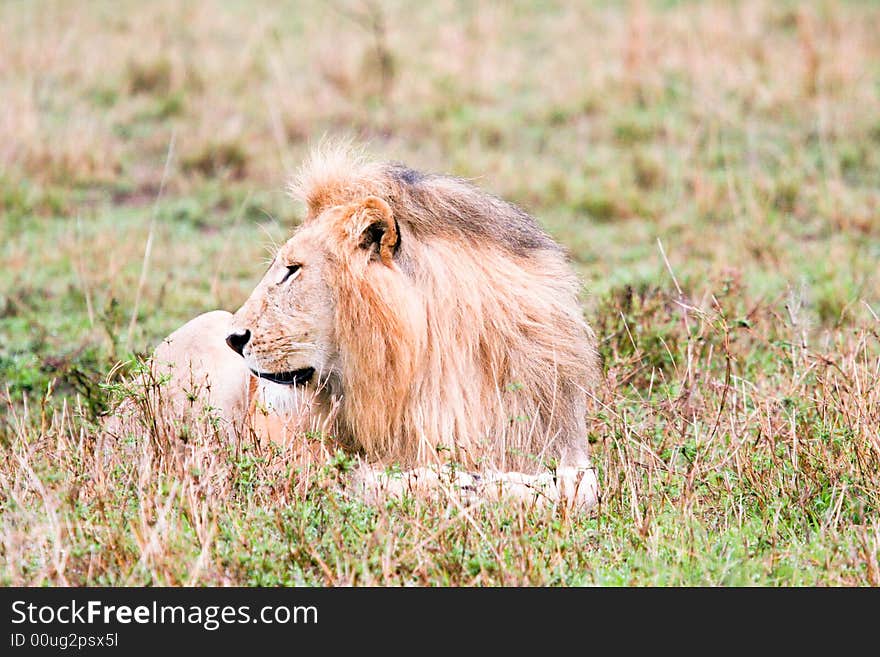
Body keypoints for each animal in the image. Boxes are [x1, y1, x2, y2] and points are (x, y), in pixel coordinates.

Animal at [143, 146, 604, 510]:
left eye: (292, 270)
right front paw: (463, 484)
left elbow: (584, 486)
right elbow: (400, 480)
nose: (235, 339)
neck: (436, 365)